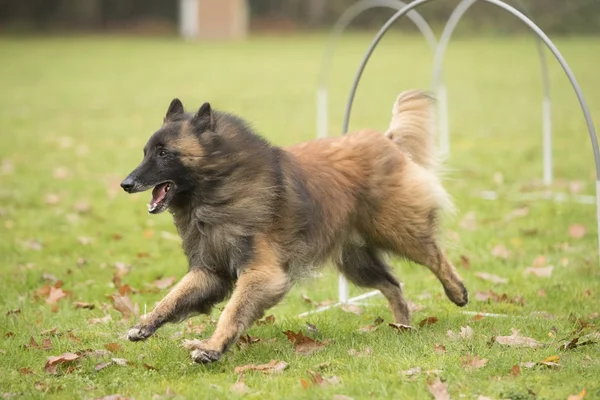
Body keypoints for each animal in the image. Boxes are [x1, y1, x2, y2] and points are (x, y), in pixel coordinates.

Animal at [120, 90, 468, 362]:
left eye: (164, 153)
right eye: (146, 152)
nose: (126, 184)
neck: (221, 186)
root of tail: (386, 141)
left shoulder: (262, 273)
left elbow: (232, 311)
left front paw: (211, 347)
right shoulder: (209, 271)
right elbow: (172, 297)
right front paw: (145, 324)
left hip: (398, 231)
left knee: (434, 256)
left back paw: (457, 292)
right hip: (356, 262)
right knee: (393, 285)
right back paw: (403, 326)